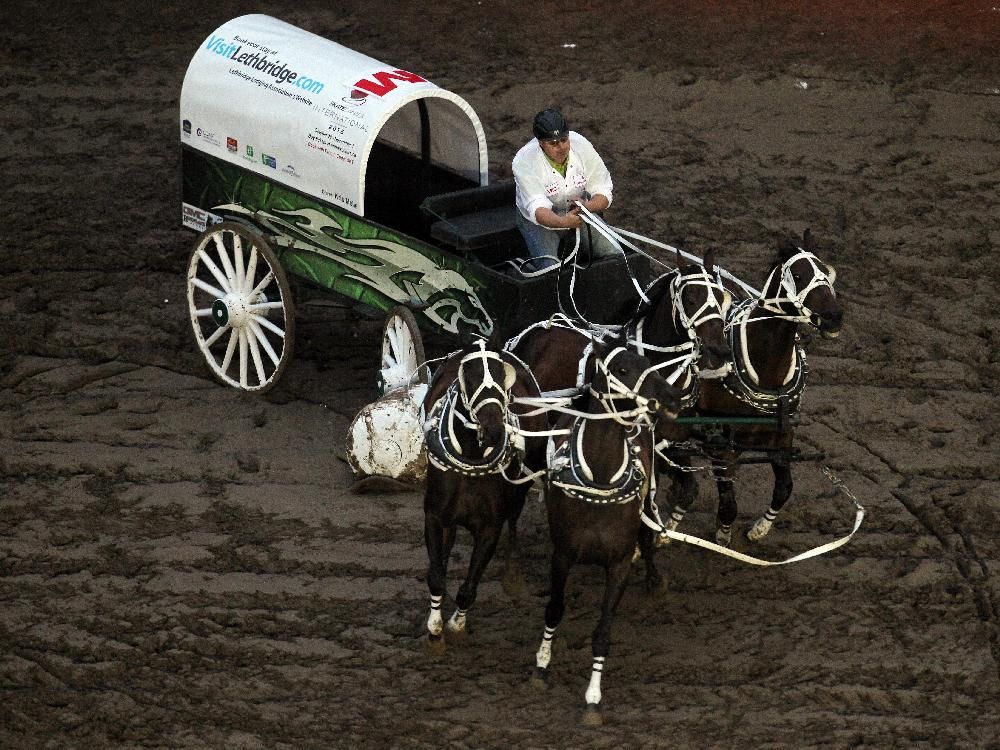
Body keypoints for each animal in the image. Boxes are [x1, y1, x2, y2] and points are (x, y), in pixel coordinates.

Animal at [422, 340, 548, 648]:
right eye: (469, 376)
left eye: (502, 378)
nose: (493, 430)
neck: (470, 461)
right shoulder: (435, 516)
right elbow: (436, 575)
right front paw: (435, 628)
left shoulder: (490, 527)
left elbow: (469, 587)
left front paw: (456, 625)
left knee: (514, 521)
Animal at [664, 229, 844, 548]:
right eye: (798, 274)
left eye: (825, 271)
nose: (834, 316)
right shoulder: (723, 443)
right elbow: (728, 499)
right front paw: (723, 533)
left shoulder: (783, 436)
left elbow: (784, 487)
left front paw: (759, 528)